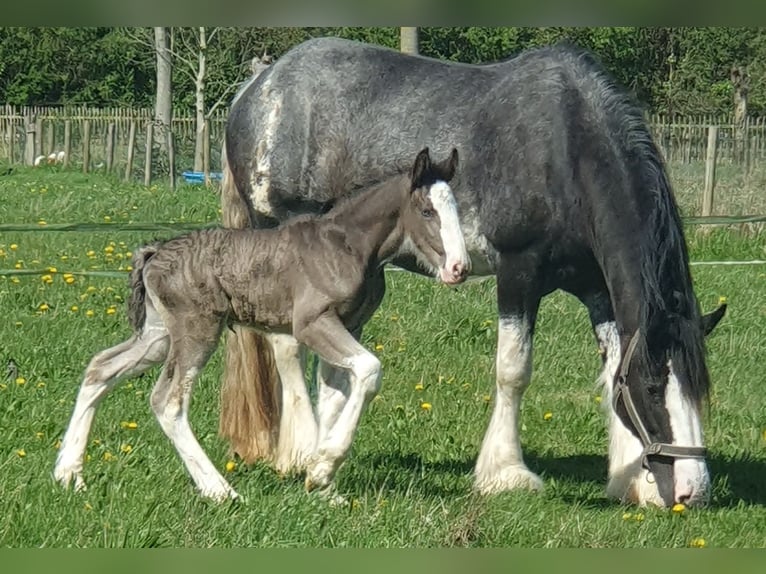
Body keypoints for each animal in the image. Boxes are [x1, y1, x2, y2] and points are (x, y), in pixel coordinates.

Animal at [52, 147, 468, 500]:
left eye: (457, 211)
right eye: (427, 211)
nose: (458, 268)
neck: (347, 246)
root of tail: (154, 253)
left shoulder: (351, 326)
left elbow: (335, 395)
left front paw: (322, 482)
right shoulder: (312, 323)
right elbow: (368, 369)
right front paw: (322, 468)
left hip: (157, 336)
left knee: (101, 367)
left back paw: (69, 474)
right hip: (196, 330)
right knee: (167, 401)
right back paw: (219, 490)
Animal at [218, 38, 732, 510]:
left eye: (700, 387)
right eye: (654, 386)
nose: (694, 491)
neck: (566, 150)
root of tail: (257, 88)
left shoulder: (597, 288)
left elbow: (610, 373)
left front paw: (630, 480)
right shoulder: (519, 271)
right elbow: (513, 370)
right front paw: (505, 474)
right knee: (287, 348)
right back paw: (301, 451)